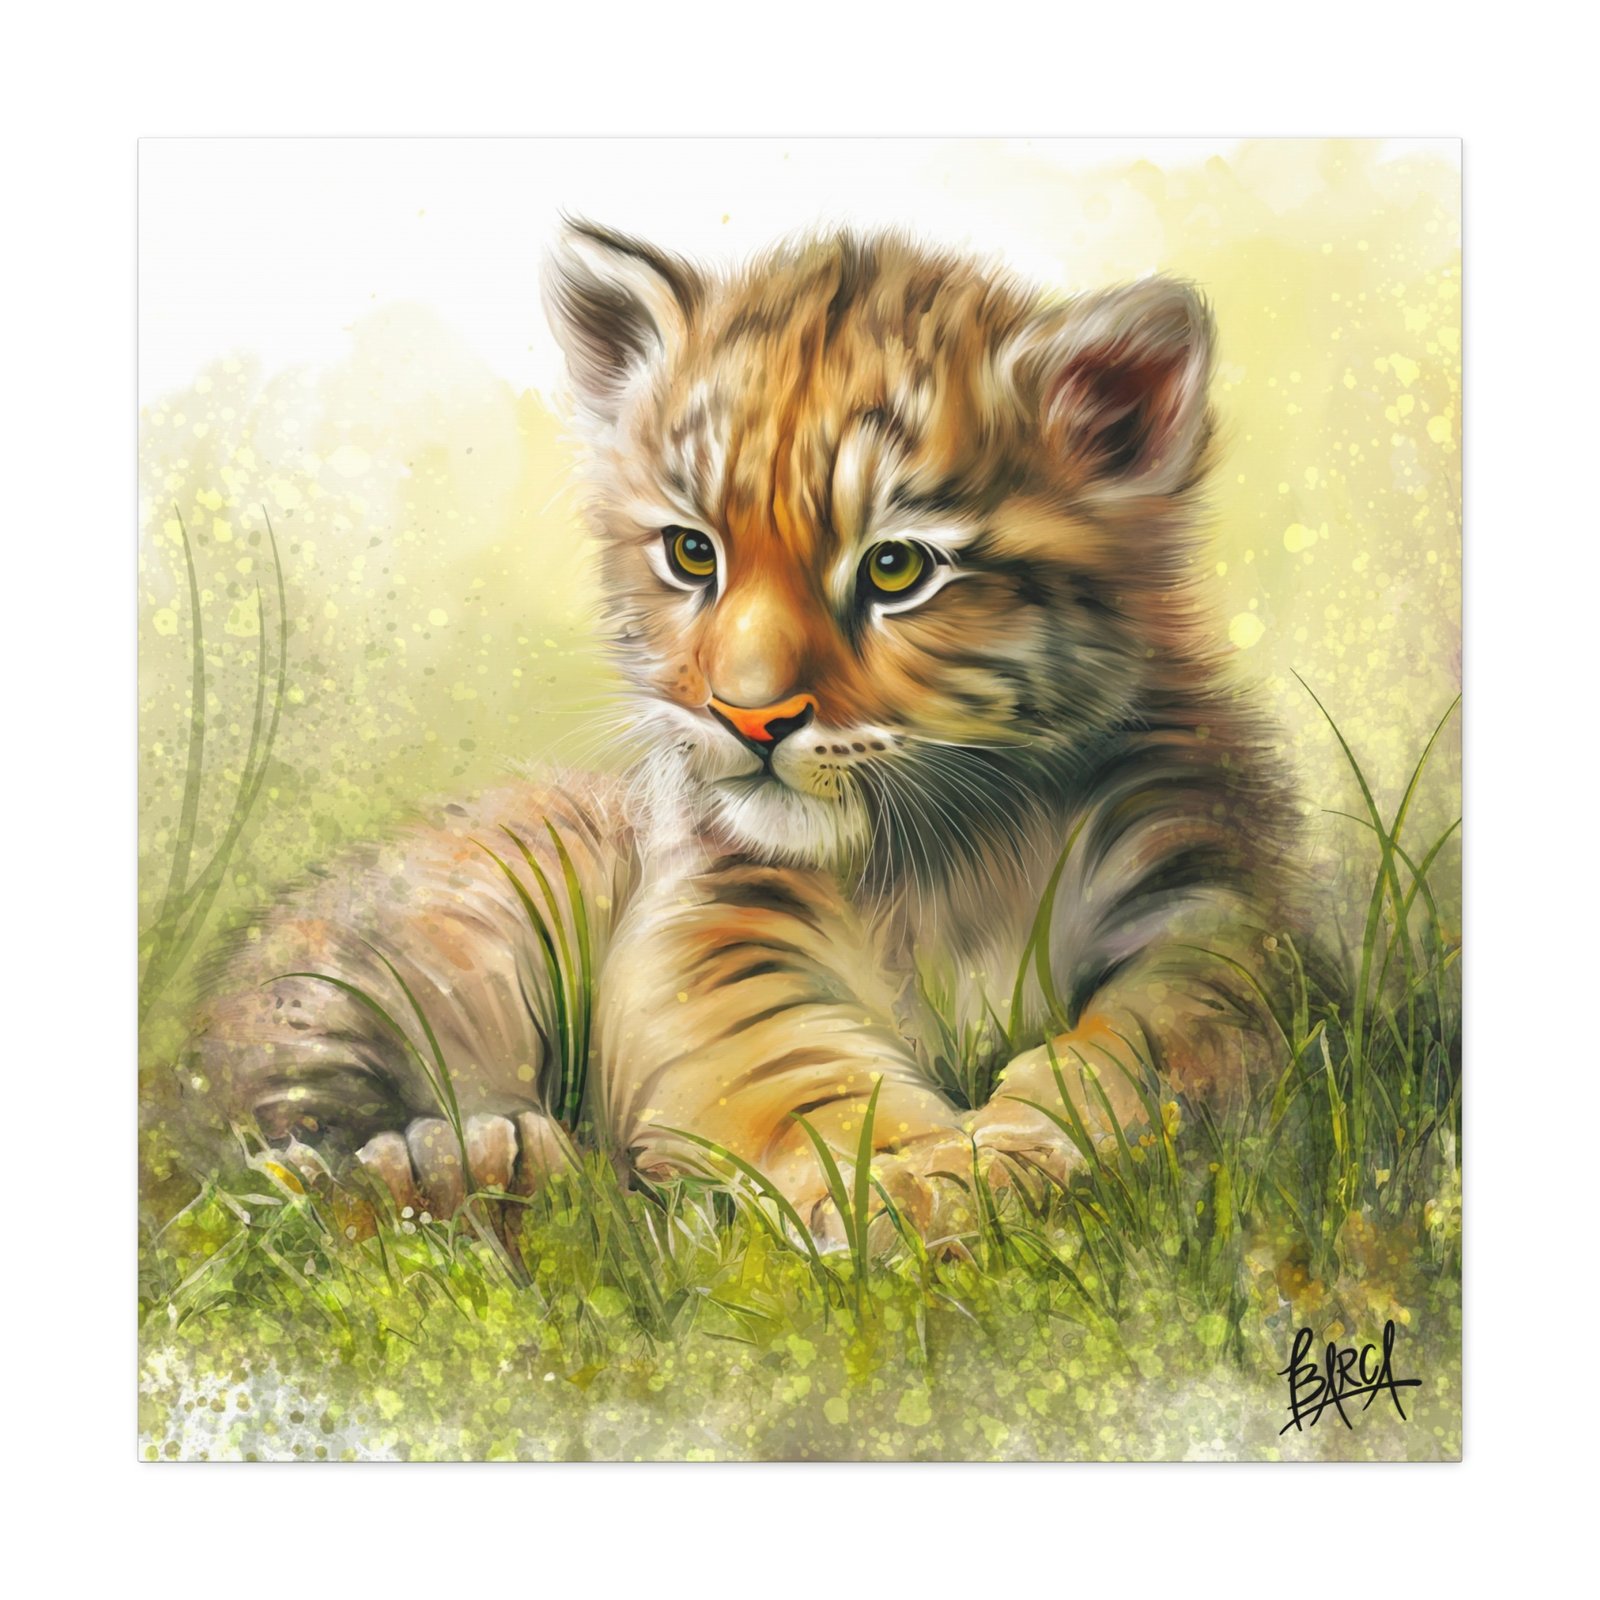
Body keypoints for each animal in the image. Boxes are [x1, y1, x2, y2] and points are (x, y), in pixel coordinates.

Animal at [189, 220, 1300, 1239]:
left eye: (897, 568)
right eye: (692, 553)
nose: (747, 715)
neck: (948, 852)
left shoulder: (1199, 907)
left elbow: (1149, 1042)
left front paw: (1011, 1154)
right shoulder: (713, 928)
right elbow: (798, 1071)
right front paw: (912, 1185)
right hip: (381, 966)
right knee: (264, 1153)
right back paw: (466, 1165)